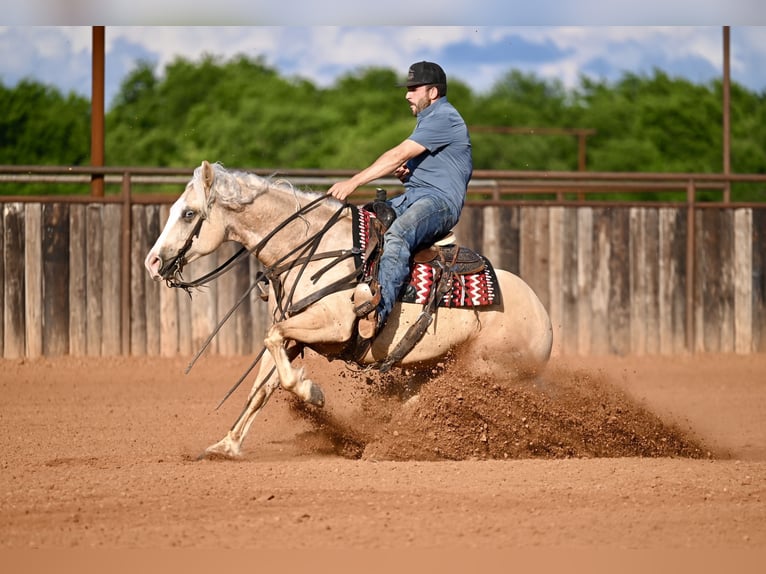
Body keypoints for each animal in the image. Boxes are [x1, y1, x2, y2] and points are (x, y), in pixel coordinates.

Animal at [145, 160, 553, 459]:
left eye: (188, 213)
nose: (152, 262)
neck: (312, 247)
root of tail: (545, 318)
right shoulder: (293, 334)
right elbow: (261, 386)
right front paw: (226, 446)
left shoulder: (333, 326)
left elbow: (275, 351)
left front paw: (311, 392)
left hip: (485, 370)